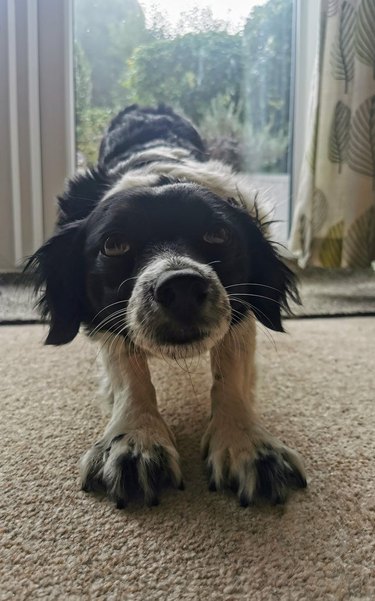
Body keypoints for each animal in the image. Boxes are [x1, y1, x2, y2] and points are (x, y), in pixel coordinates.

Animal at [27, 104, 306, 506]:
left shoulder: (240, 310)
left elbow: (231, 370)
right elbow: (129, 372)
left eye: (218, 234)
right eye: (114, 244)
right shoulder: (108, 320)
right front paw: (136, 439)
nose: (182, 286)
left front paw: (245, 442)